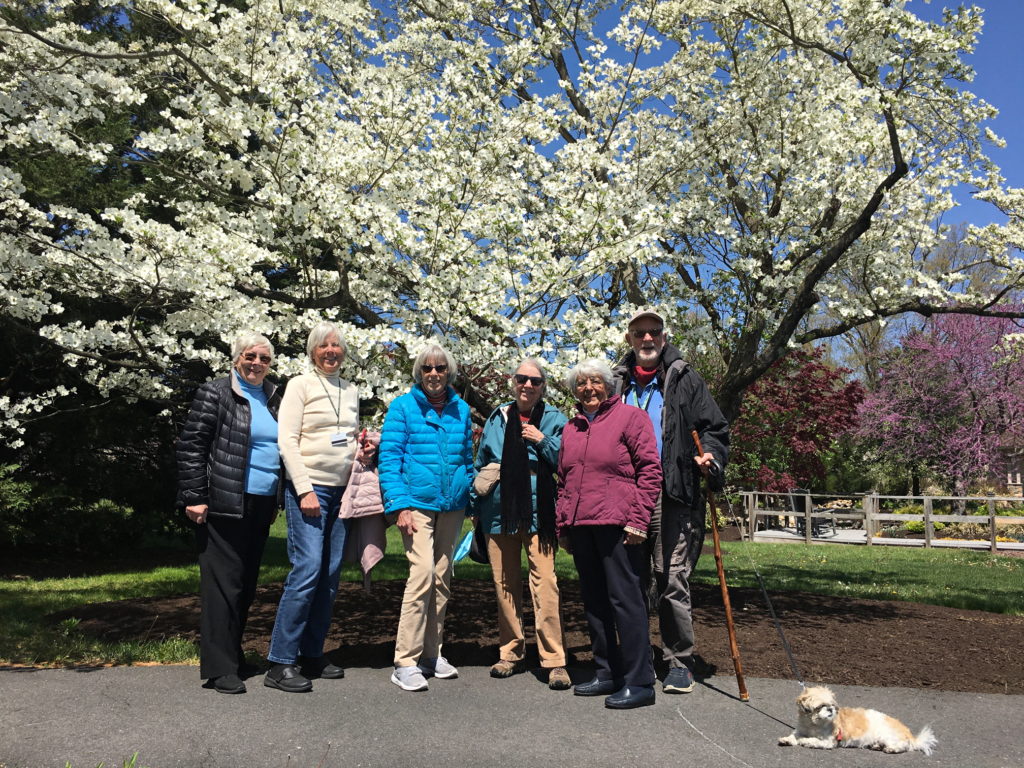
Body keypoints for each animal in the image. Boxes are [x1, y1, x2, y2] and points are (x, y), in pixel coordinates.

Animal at [774, 688, 937, 753]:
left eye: (832, 705)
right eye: (821, 706)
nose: (831, 709)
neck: (813, 724)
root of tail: (909, 734)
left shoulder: (828, 741)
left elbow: (813, 740)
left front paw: (805, 741)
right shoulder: (801, 729)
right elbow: (794, 736)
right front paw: (787, 740)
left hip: (888, 735)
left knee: (903, 746)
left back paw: (891, 749)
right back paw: (877, 746)